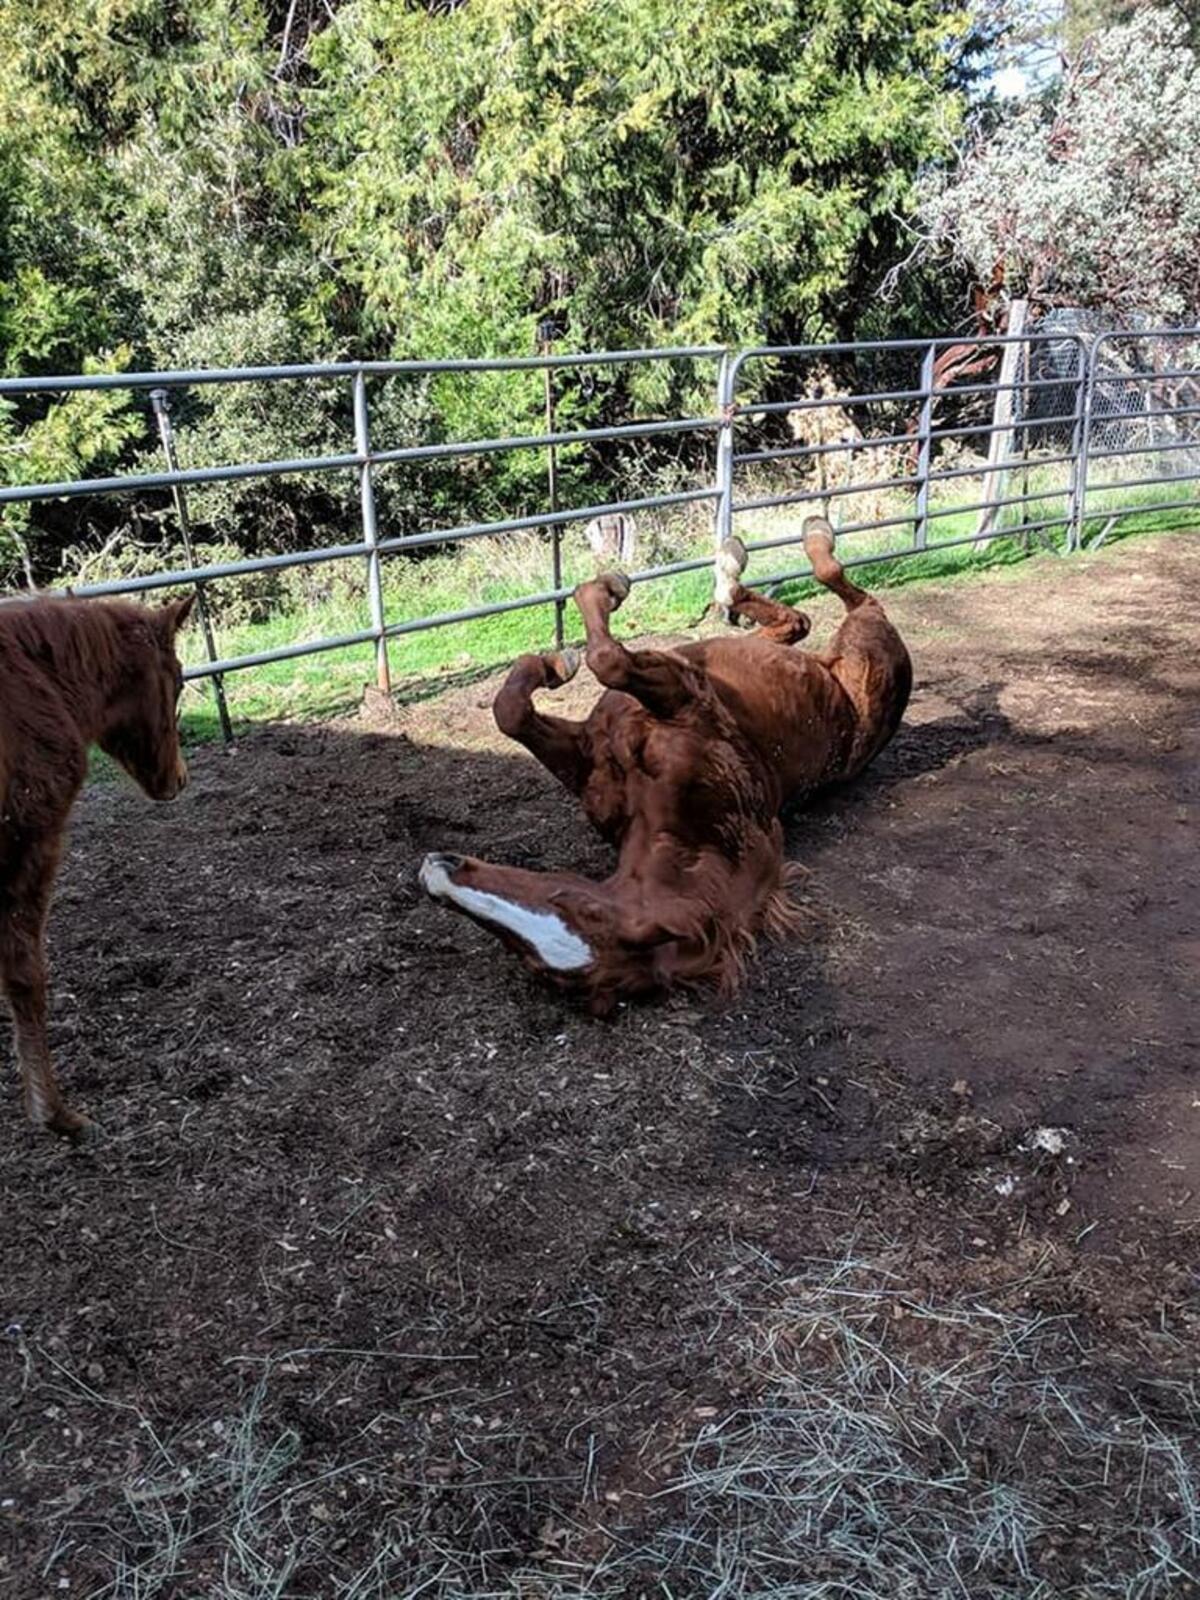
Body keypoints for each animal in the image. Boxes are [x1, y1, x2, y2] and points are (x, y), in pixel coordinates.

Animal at [419, 518, 911, 1012]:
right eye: (529, 960)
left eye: (581, 907)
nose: (435, 873)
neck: (684, 821)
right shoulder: (587, 752)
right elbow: (512, 711)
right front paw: (555, 660)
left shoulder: (682, 697)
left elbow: (608, 660)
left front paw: (597, 601)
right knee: (794, 621)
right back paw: (735, 562)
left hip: (865, 643)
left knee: (850, 593)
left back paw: (808, 537)